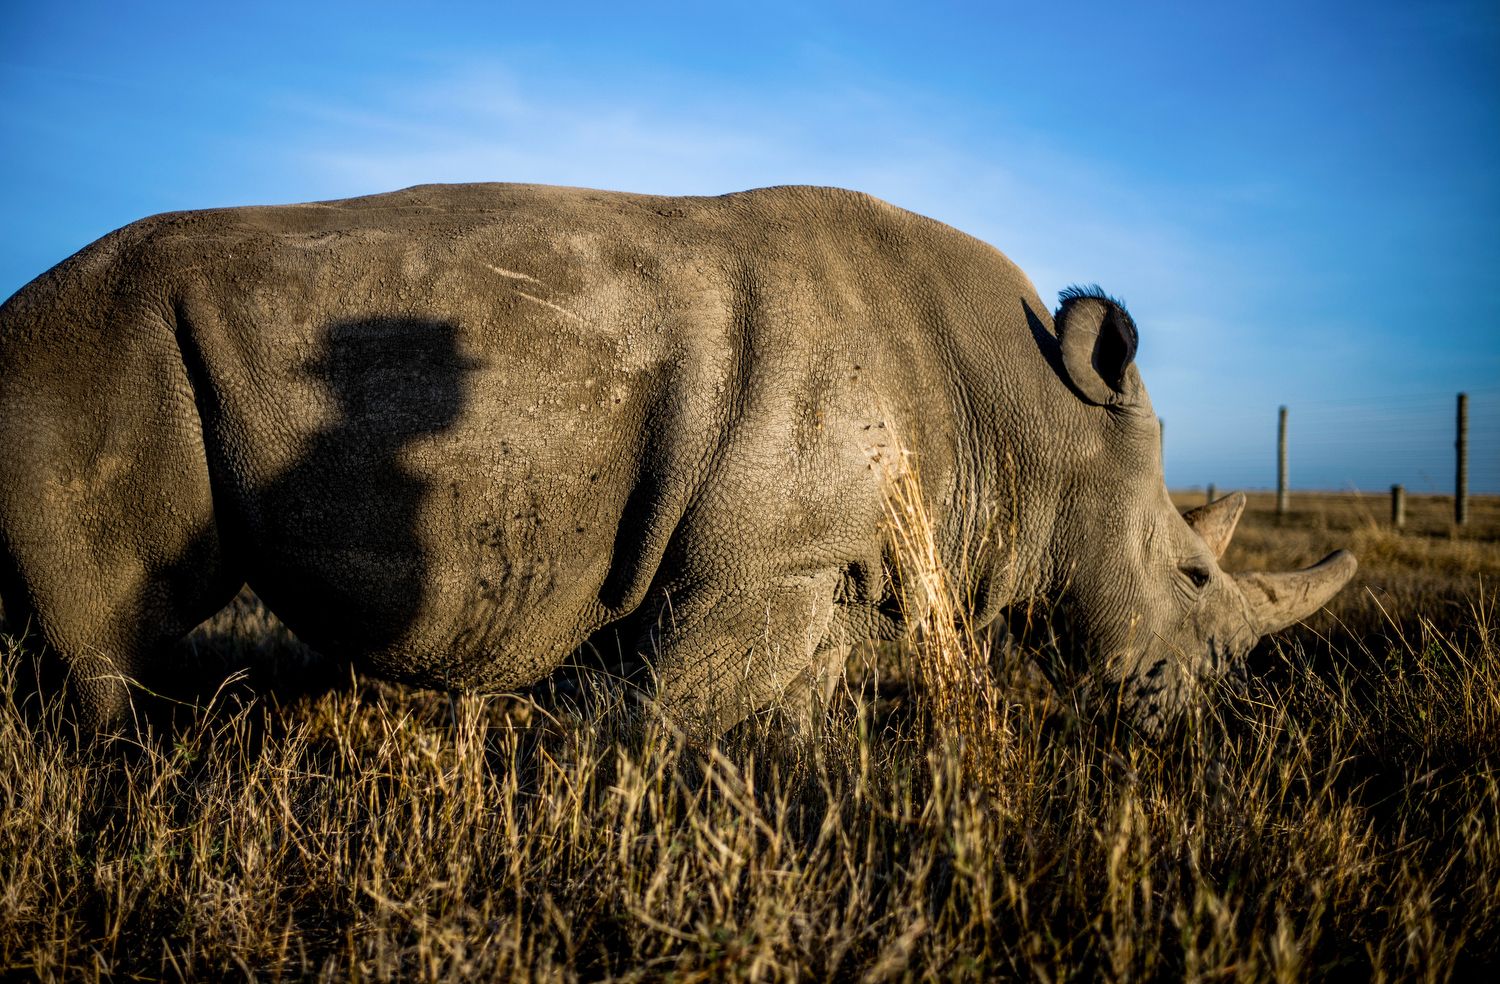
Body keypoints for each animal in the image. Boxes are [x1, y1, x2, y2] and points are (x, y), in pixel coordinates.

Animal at [0, 183, 1355, 739]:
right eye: (1192, 577)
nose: (1203, 713)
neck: (1027, 414)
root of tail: (16, 312)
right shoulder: (765, 561)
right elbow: (664, 712)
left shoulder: (823, 564)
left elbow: (787, 717)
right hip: (90, 355)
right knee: (112, 640)